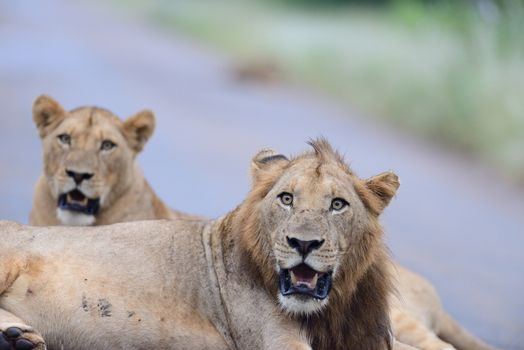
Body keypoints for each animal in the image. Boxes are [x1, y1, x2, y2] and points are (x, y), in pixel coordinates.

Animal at [1, 140, 402, 350]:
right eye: (287, 199)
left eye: (338, 205)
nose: (303, 243)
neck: (334, 309)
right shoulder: (271, 338)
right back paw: (19, 338)